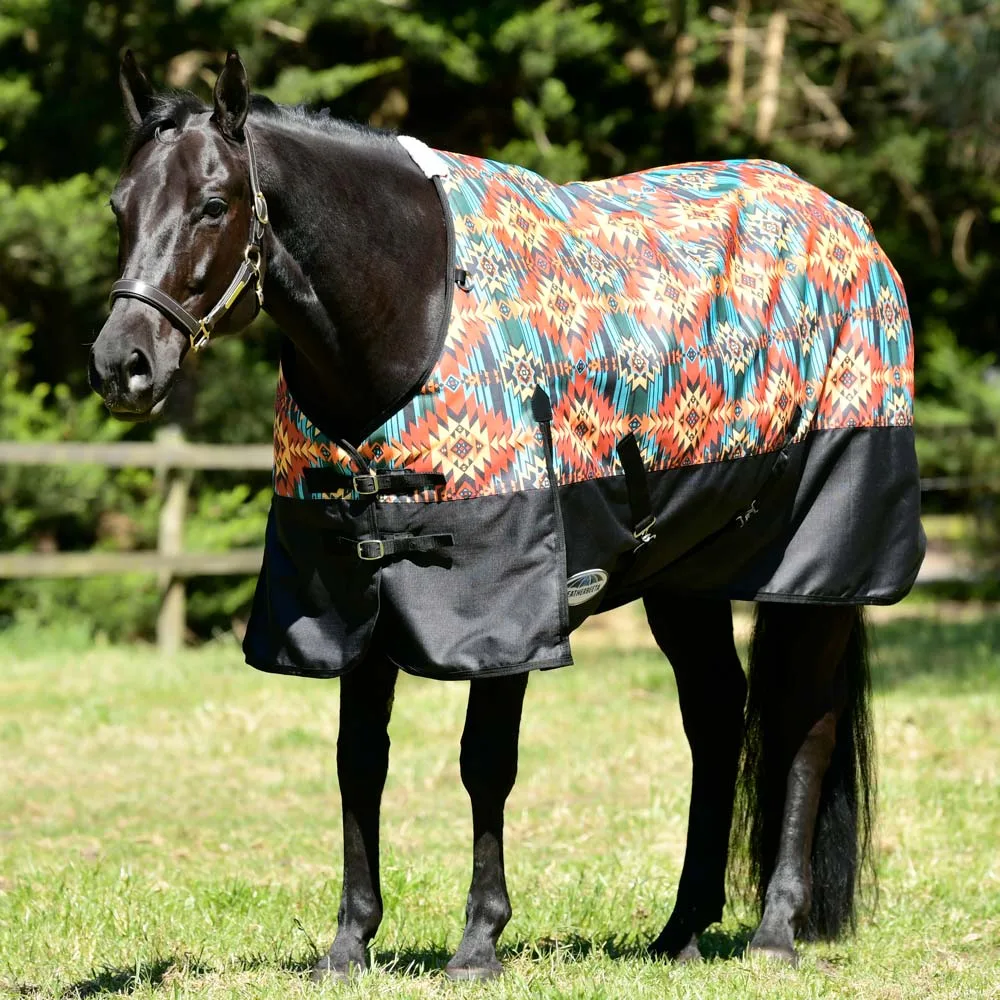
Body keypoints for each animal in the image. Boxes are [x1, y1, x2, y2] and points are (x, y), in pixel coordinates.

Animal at [88, 51, 924, 980]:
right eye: (120, 205)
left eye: (212, 203)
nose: (121, 365)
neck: (414, 313)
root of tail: (846, 222)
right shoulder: (355, 590)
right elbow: (358, 764)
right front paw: (350, 941)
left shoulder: (503, 606)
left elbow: (485, 764)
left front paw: (480, 940)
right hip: (683, 581)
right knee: (717, 719)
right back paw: (681, 929)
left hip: (821, 569)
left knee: (804, 725)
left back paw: (775, 929)